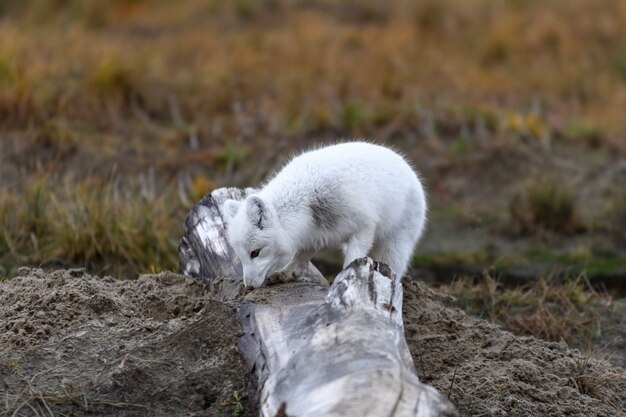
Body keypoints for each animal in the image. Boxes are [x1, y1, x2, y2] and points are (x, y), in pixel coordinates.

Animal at [223, 141, 424, 288]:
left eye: (255, 253)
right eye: (240, 256)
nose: (248, 286)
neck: (306, 201)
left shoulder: (364, 226)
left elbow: (353, 260)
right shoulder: (312, 236)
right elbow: (299, 258)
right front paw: (285, 274)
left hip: (394, 247)